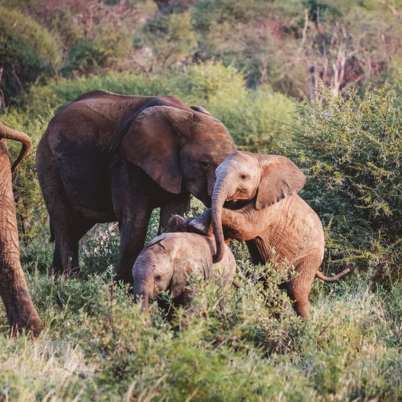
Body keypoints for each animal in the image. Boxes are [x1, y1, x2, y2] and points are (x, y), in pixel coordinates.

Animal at [37, 90, 236, 282]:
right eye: (204, 163)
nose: (215, 257)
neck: (184, 113)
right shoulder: (126, 162)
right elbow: (135, 222)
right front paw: (122, 286)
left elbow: (172, 214)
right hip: (48, 162)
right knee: (64, 222)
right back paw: (70, 281)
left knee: (76, 225)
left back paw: (55, 277)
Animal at [192, 151, 348, 320]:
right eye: (215, 173)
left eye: (243, 176)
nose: (214, 257)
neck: (259, 159)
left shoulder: (271, 206)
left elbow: (246, 227)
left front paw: (196, 225)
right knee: (268, 288)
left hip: (310, 258)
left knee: (297, 293)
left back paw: (305, 325)